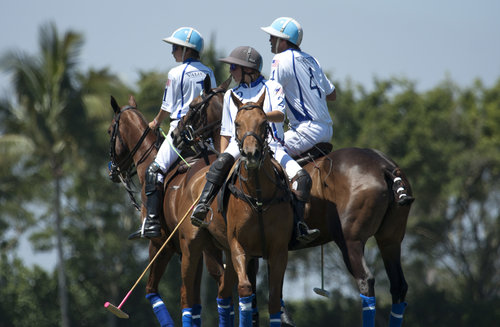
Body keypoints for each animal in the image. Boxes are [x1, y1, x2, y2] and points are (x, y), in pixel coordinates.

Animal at [174, 84, 416, 326]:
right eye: (237, 123)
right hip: (390, 238)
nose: (177, 135)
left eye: (193, 106)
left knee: (366, 281)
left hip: (350, 239)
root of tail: (385, 166)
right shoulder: (258, 249)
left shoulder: (259, 249)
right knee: (399, 286)